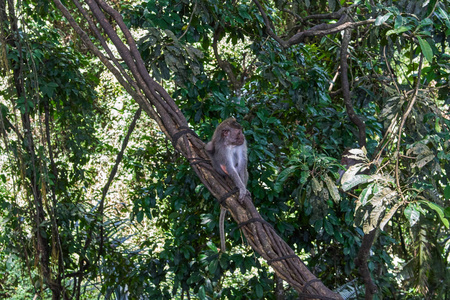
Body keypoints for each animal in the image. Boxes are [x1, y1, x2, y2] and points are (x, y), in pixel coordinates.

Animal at [206, 118, 248, 252]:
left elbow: (242, 164)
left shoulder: (242, 144)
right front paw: (242, 189)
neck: (230, 144)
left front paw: (244, 189)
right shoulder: (223, 150)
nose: (243, 136)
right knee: (209, 148)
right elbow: (230, 167)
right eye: (238, 132)